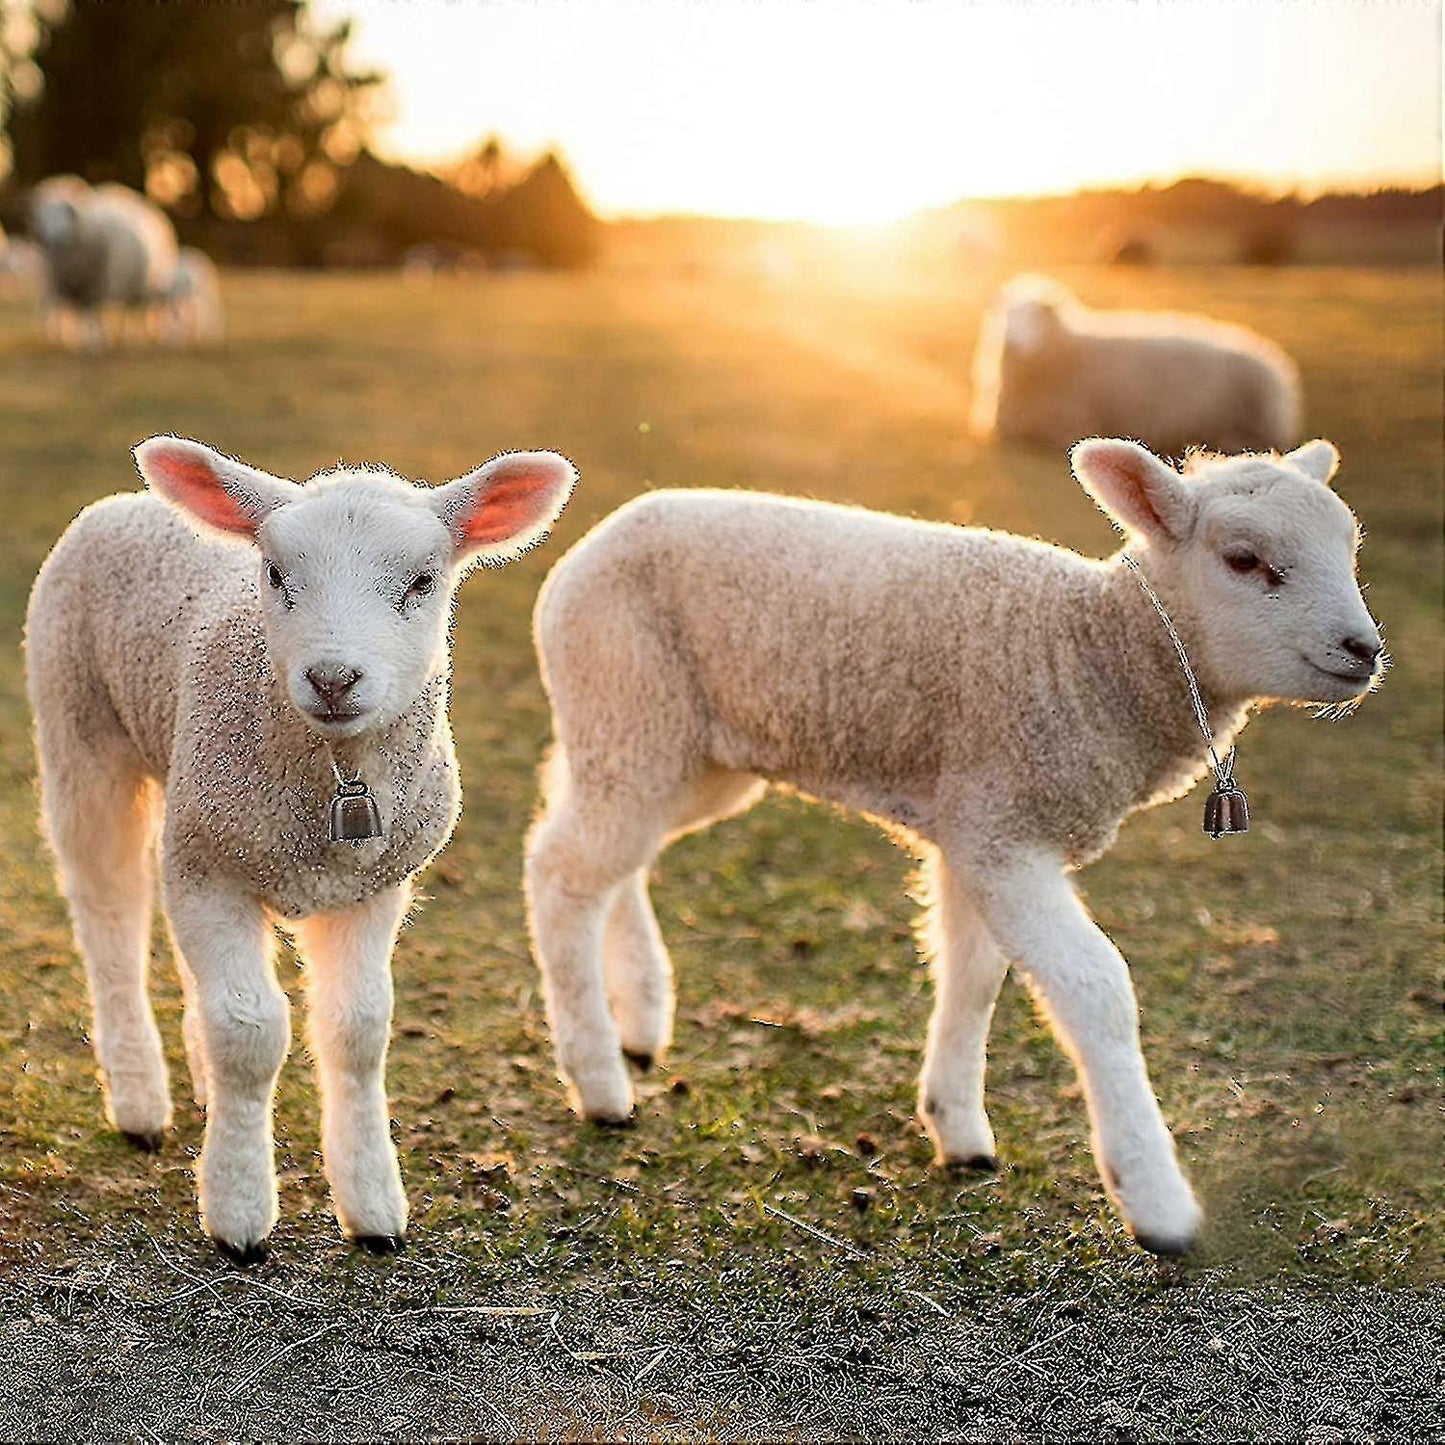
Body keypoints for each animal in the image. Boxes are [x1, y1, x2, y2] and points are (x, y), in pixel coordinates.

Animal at [24, 433, 575, 1260]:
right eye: (277, 574)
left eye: (422, 580)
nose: (334, 677)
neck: (337, 776)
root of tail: (130, 501)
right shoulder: (213, 868)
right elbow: (250, 1034)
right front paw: (239, 1208)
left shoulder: (371, 885)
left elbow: (356, 1029)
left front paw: (373, 1205)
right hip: (80, 732)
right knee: (110, 921)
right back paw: (139, 1099)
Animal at [27, 176, 179, 351]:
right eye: (41, 213)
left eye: (68, 209)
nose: (50, 237)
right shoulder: (62, 284)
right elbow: (71, 314)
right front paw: (71, 342)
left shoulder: (97, 286)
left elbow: (91, 315)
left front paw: (94, 343)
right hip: (128, 284)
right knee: (126, 311)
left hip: (148, 284)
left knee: (139, 311)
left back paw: (136, 338)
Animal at [525, 436, 1381, 1254]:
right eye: (1243, 560)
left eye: (1347, 546)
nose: (1363, 649)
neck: (1092, 651)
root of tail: (598, 538)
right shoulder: (1001, 829)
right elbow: (1095, 988)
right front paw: (1155, 1200)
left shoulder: (977, 824)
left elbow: (972, 975)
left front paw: (957, 1127)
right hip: (630, 705)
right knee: (562, 870)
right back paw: (599, 1081)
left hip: (684, 751)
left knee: (614, 857)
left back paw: (639, 1018)